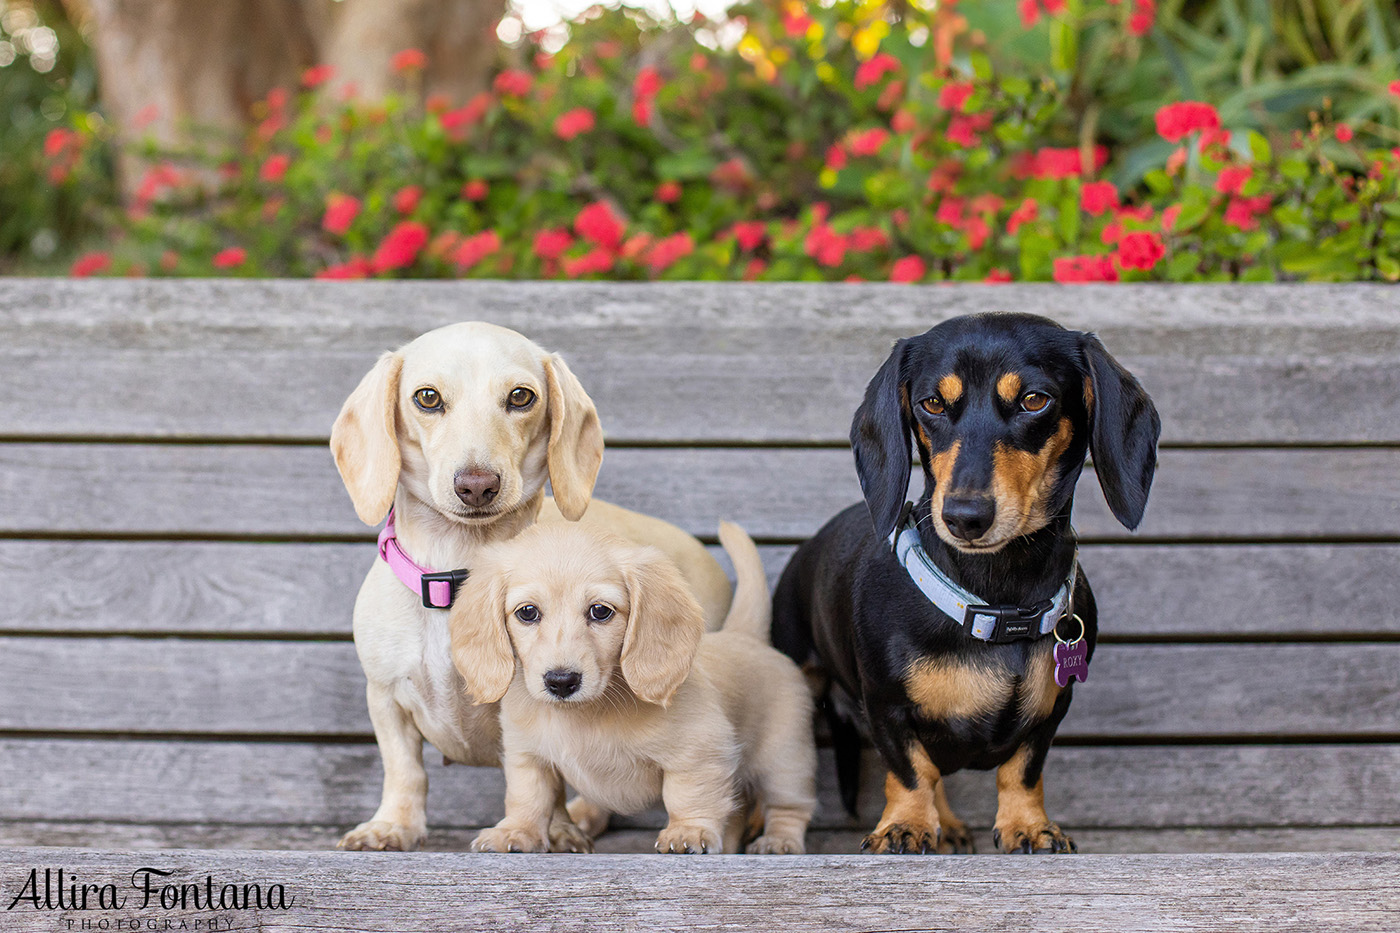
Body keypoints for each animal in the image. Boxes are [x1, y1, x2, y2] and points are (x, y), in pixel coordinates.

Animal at [448, 515, 817, 851]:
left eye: (600, 611)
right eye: (527, 612)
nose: (561, 682)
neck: (584, 715)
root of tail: (745, 635)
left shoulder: (699, 752)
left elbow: (687, 796)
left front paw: (688, 831)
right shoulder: (527, 757)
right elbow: (528, 798)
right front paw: (516, 831)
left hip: (784, 762)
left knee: (789, 807)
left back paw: (778, 840)